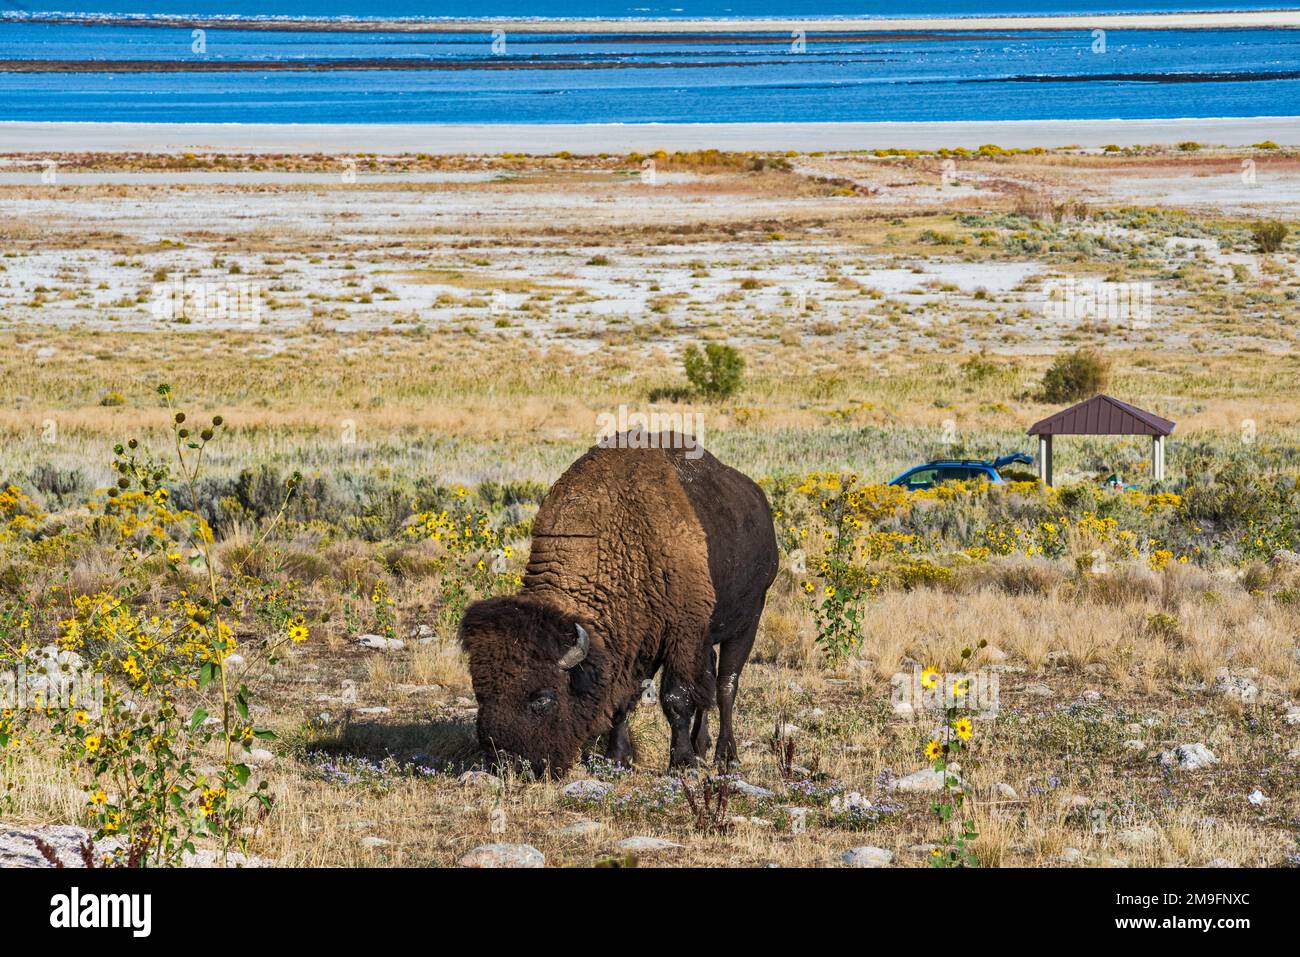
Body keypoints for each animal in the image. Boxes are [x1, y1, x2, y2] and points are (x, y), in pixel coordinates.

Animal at [460, 434, 774, 780]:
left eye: (542, 699)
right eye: (479, 691)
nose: (506, 763)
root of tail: (757, 498)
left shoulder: (682, 633)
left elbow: (676, 697)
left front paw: (682, 763)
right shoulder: (638, 640)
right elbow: (625, 699)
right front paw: (617, 758)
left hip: (748, 620)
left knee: (725, 686)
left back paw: (726, 757)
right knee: (708, 680)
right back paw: (701, 747)